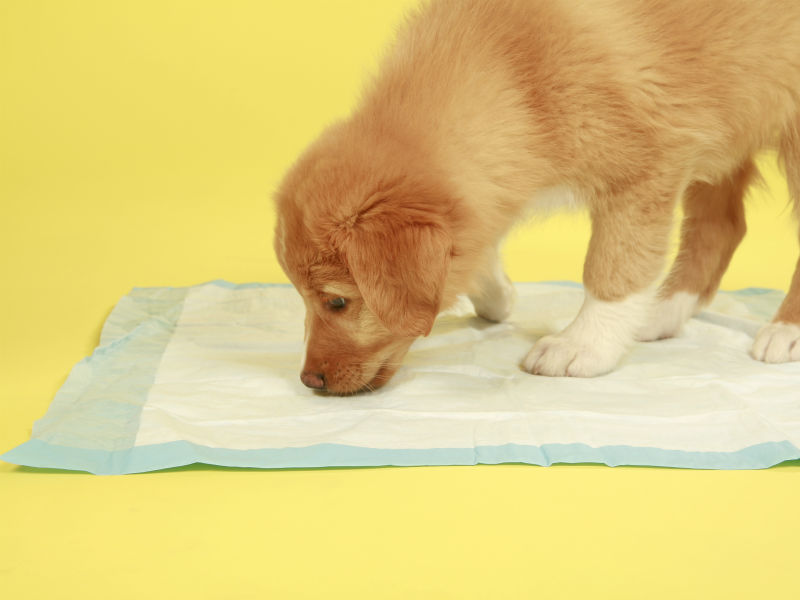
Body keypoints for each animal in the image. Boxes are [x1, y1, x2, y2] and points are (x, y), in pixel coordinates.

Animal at [274, 0, 800, 394]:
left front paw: (583, 346)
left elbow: (612, 269)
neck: (512, 73)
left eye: (337, 302)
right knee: (722, 227)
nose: (309, 381)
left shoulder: (645, 171)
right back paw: (663, 313)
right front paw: (496, 295)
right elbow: (478, 236)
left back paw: (785, 333)